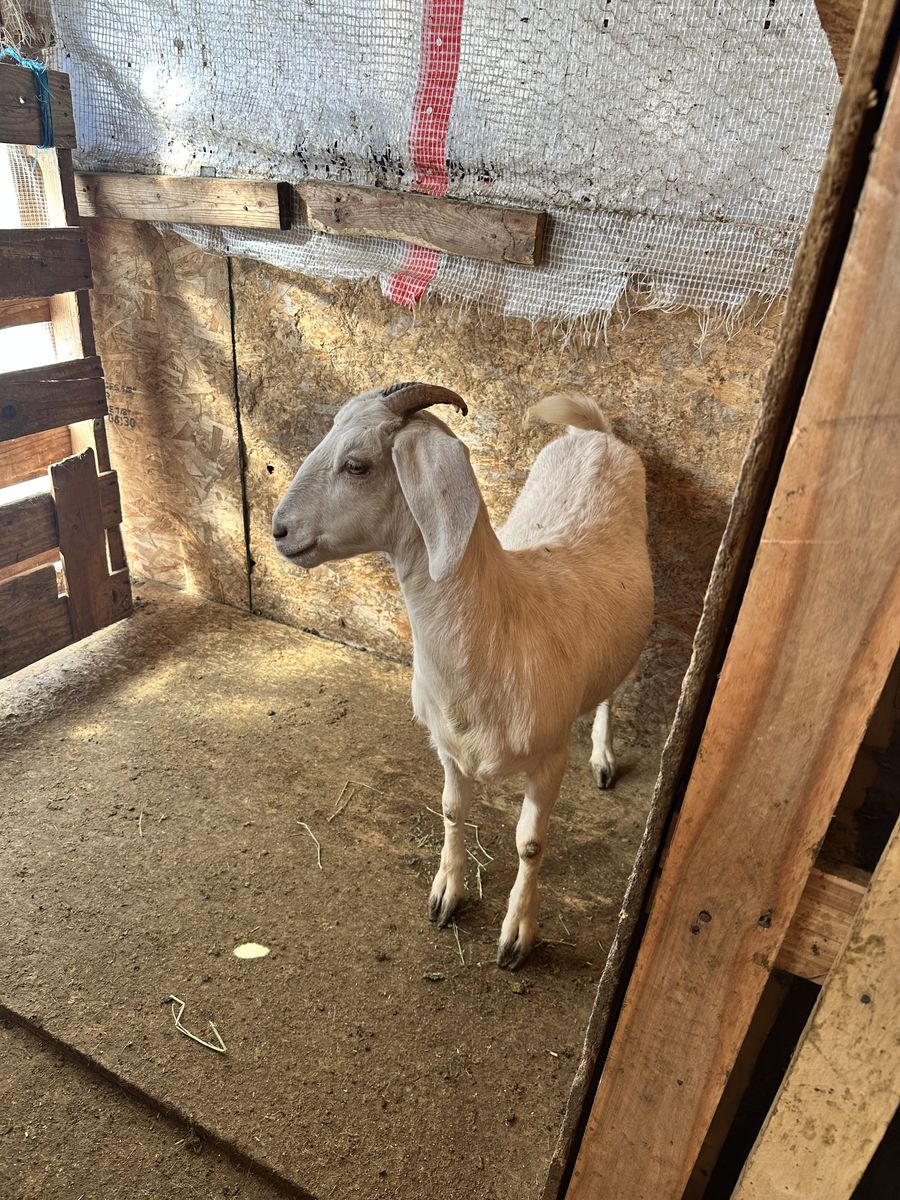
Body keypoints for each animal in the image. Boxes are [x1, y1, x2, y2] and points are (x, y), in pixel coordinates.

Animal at [273, 382, 653, 968]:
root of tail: (594, 434)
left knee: (618, 690)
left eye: (357, 465)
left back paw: (603, 757)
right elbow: (451, 812)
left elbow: (530, 844)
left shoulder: (550, 758)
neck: (502, 624)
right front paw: (447, 893)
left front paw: (518, 934)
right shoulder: (447, 746)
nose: (279, 530)